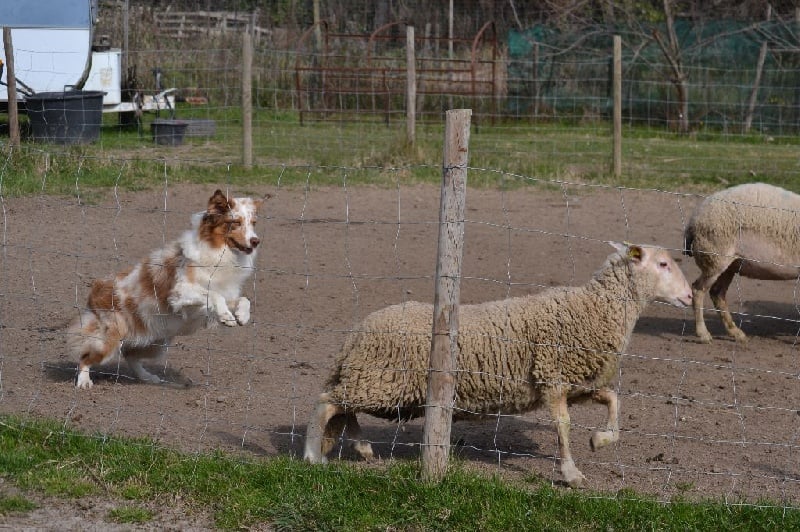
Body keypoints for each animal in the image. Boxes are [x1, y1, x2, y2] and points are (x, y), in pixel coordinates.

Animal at [304, 243, 692, 488]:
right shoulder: (552, 377)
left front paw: (601, 439)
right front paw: (571, 474)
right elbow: (564, 426)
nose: (689, 296)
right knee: (327, 403)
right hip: (380, 379)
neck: (595, 308)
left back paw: (363, 449)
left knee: (343, 408)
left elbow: (614, 400)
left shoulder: (579, 382)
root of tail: (356, 333)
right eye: (662, 264)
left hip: (374, 381)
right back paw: (312, 457)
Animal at [684, 183, 800, 342]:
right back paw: (703, 334)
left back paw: (736, 332)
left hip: (728, 265)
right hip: (715, 258)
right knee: (698, 290)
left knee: (717, 293)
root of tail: (693, 219)